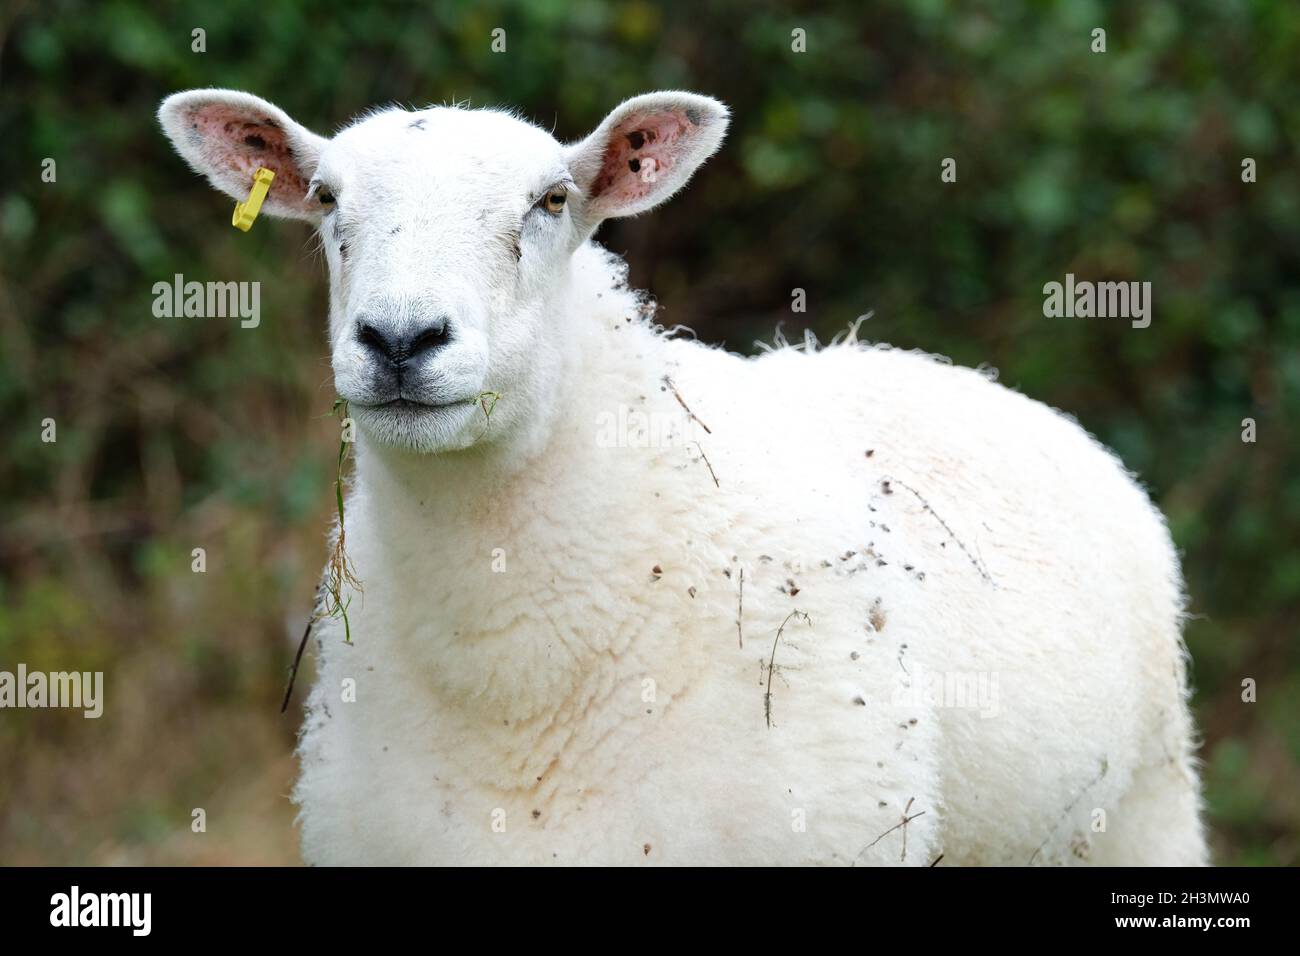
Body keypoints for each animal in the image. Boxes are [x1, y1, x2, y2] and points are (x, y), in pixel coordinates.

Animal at [159, 88, 1207, 866]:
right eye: (328, 198)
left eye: (552, 201)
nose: (401, 340)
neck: (512, 675)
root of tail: (959, 376)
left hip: (1146, 810)